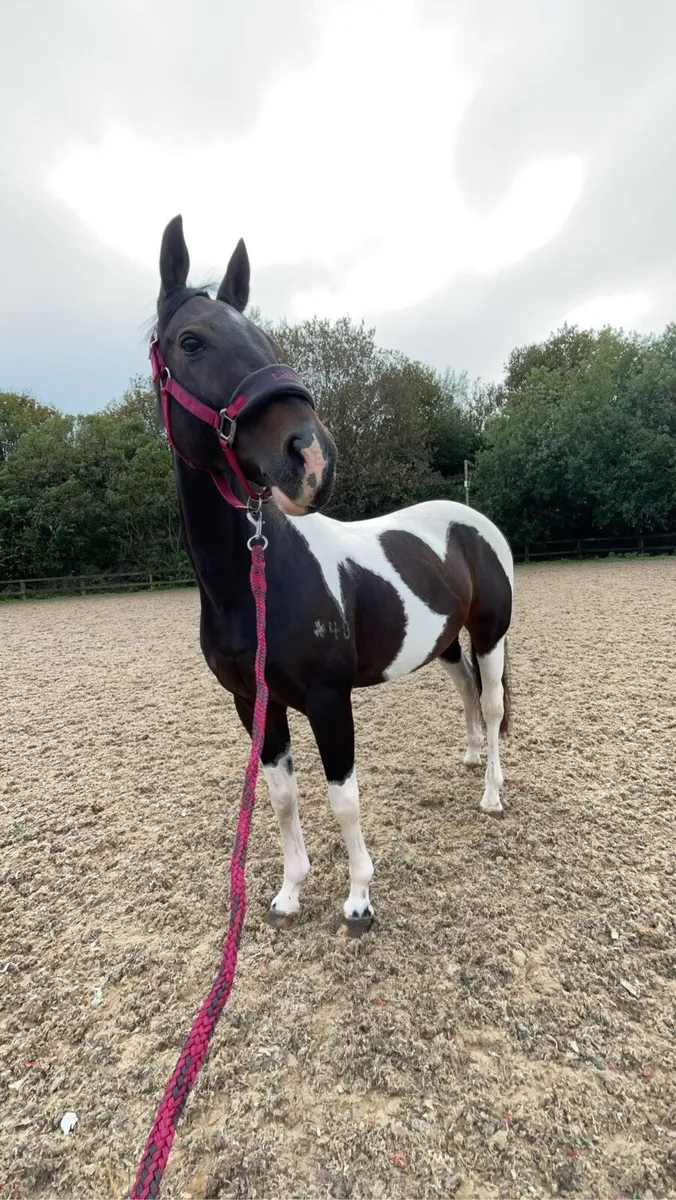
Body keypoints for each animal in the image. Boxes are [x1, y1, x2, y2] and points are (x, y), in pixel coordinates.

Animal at [151, 215, 513, 937]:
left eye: (268, 341)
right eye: (190, 341)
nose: (311, 456)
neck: (256, 586)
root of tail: (471, 521)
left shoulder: (327, 698)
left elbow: (343, 798)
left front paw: (359, 900)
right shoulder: (253, 704)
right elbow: (283, 797)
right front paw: (290, 893)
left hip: (491, 634)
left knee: (490, 704)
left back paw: (490, 792)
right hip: (446, 641)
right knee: (464, 688)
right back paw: (466, 760)